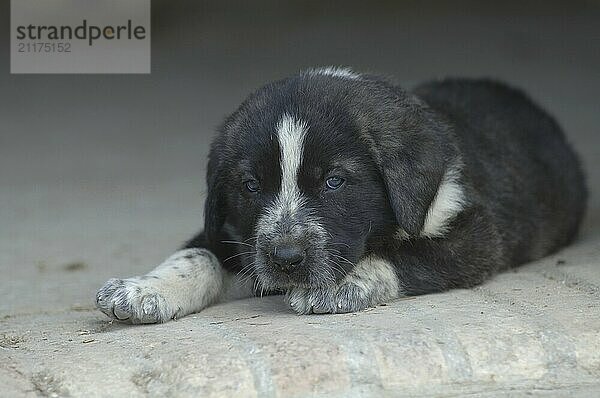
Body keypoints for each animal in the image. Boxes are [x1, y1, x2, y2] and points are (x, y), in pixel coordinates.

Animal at [95, 67, 584, 324]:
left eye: (334, 181)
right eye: (250, 185)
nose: (286, 259)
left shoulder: (475, 234)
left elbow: (401, 254)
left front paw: (342, 283)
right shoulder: (235, 231)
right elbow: (198, 254)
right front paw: (142, 289)